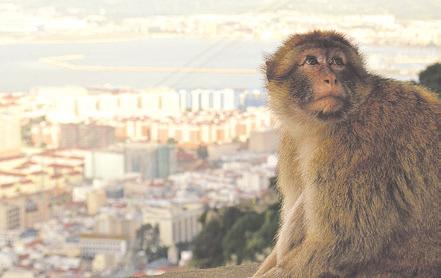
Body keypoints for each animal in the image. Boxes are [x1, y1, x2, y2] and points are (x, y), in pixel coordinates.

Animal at [253, 29, 440, 276]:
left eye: (337, 62)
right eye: (311, 61)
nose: (331, 79)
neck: (324, 125)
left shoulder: (355, 147)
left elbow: (339, 243)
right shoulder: (291, 144)